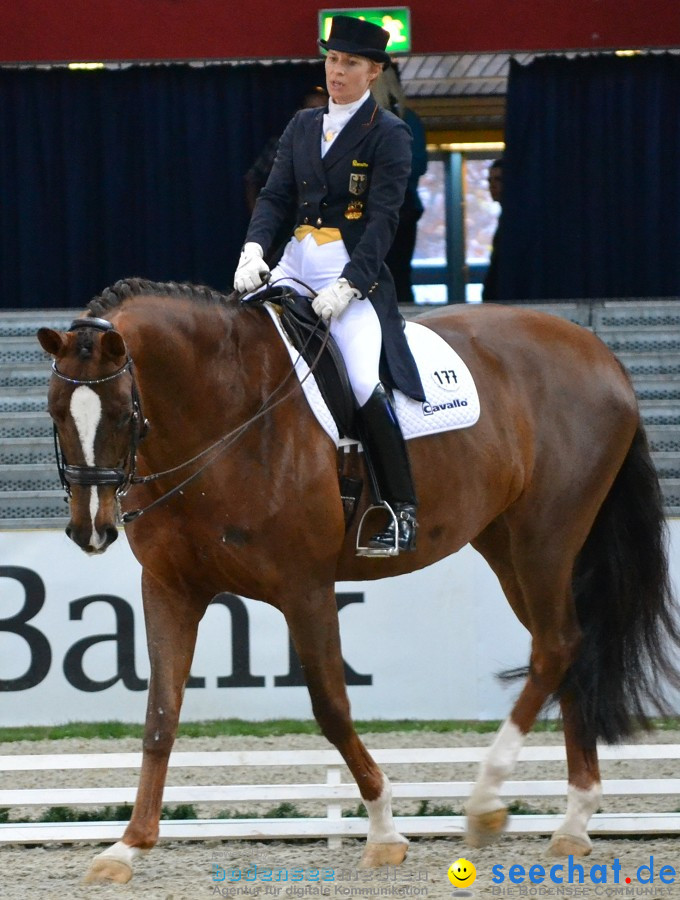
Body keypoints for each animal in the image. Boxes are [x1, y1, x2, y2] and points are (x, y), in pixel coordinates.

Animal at [38, 282, 680, 884]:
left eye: (123, 413)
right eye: (55, 412)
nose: (91, 529)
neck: (223, 414)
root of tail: (599, 355)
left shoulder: (305, 587)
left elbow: (332, 708)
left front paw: (384, 831)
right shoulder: (170, 588)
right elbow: (160, 716)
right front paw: (126, 847)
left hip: (544, 537)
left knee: (554, 648)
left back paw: (486, 802)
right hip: (507, 545)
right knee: (568, 646)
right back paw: (573, 822)